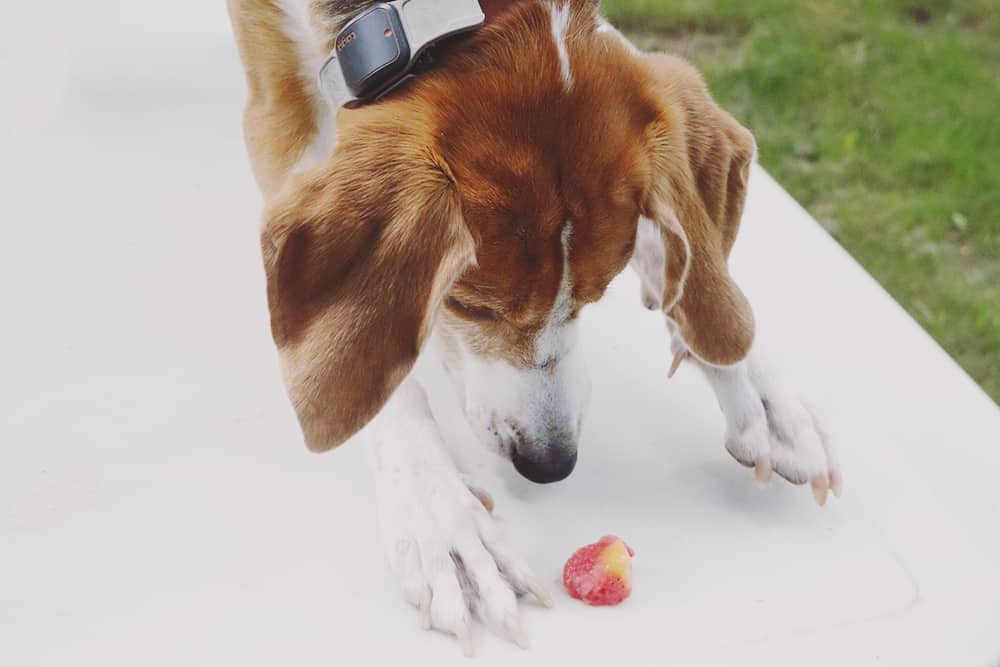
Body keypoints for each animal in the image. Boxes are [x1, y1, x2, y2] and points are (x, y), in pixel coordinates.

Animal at [229, 0, 844, 656]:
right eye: (463, 305)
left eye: (595, 296)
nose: (548, 464)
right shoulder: (278, 108)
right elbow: (374, 368)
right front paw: (439, 515)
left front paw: (752, 378)